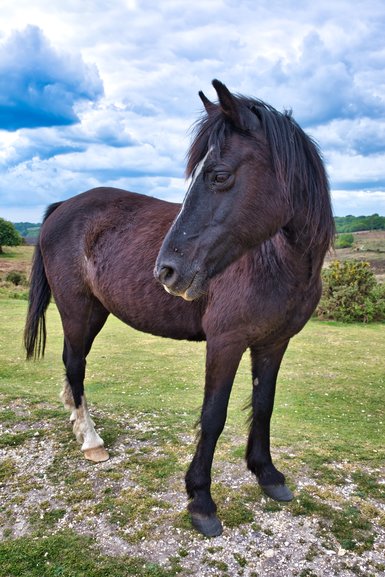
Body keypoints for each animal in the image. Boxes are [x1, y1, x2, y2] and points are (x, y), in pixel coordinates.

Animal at [24, 80, 332, 536]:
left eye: (219, 175)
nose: (166, 270)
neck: (275, 261)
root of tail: (63, 206)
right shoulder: (225, 343)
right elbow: (213, 415)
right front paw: (201, 499)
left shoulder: (273, 344)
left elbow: (264, 406)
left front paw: (268, 475)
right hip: (77, 309)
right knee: (76, 364)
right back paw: (92, 441)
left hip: (95, 312)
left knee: (70, 363)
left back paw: (76, 422)